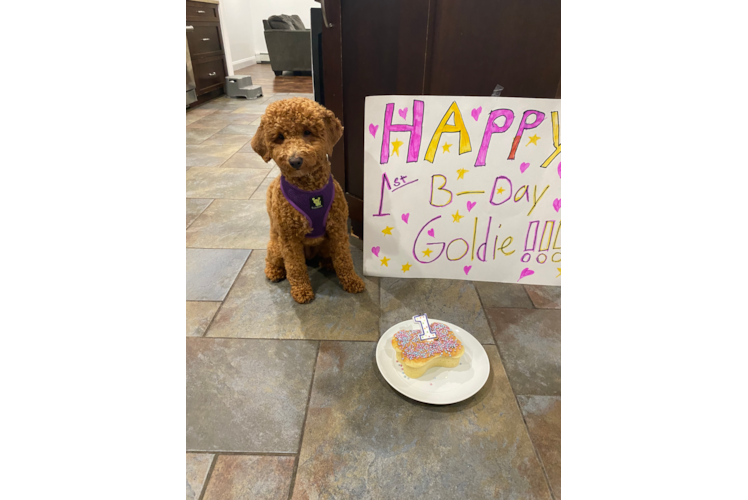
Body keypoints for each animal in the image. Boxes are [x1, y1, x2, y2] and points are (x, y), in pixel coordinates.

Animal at [251, 95, 366, 302]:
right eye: (280, 137)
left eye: (307, 132)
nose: (295, 161)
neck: (310, 189)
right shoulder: (289, 239)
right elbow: (295, 267)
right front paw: (302, 291)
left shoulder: (337, 229)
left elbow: (344, 259)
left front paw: (352, 281)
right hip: (277, 246)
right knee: (273, 260)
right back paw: (274, 272)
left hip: (325, 244)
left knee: (328, 257)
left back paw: (328, 264)